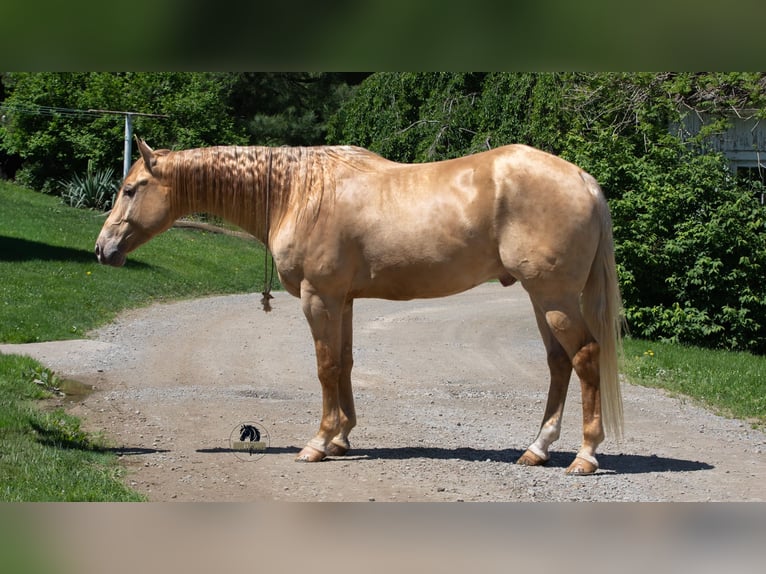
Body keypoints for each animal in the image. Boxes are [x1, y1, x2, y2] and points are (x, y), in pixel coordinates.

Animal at [95, 138, 624, 475]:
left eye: (129, 190)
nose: (103, 250)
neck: (297, 193)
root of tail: (584, 179)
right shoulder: (343, 301)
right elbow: (345, 363)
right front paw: (342, 438)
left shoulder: (320, 298)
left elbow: (325, 367)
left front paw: (318, 444)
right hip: (541, 298)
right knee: (558, 363)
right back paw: (537, 449)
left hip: (553, 298)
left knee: (585, 357)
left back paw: (585, 456)